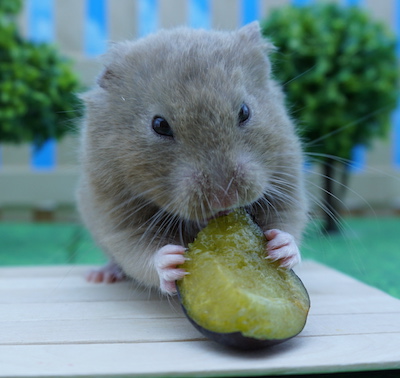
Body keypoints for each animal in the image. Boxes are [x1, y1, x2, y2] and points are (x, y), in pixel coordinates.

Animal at [78, 22, 310, 296]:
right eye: (159, 125)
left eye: (245, 111)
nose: (225, 198)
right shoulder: (115, 210)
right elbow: (137, 251)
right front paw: (172, 262)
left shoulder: (287, 176)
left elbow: (289, 221)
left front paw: (281, 248)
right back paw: (100, 276)